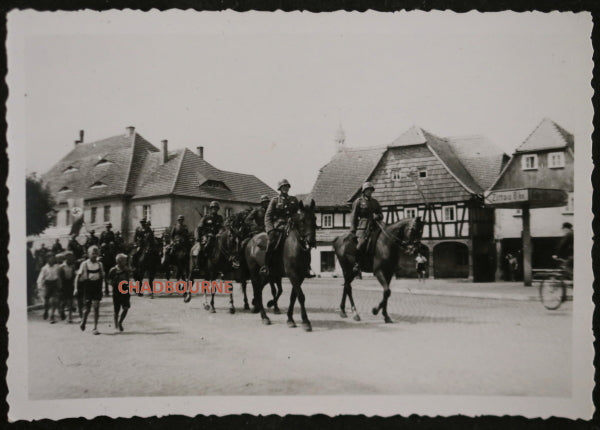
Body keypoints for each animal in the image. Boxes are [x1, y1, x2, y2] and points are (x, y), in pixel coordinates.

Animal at [244, 200, 318, 330]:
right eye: (302, 220)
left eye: (314, 218)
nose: (311, 241)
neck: (296, 246)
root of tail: (251, 240)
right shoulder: (292, 274)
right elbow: (301, 296)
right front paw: (305, 321)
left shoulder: (300, 276)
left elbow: (293, 297)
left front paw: (290, 319)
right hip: (254, 272)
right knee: (257, 291)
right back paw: (264, 317)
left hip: (268, 275)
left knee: (260, 290)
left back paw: (261, 307)